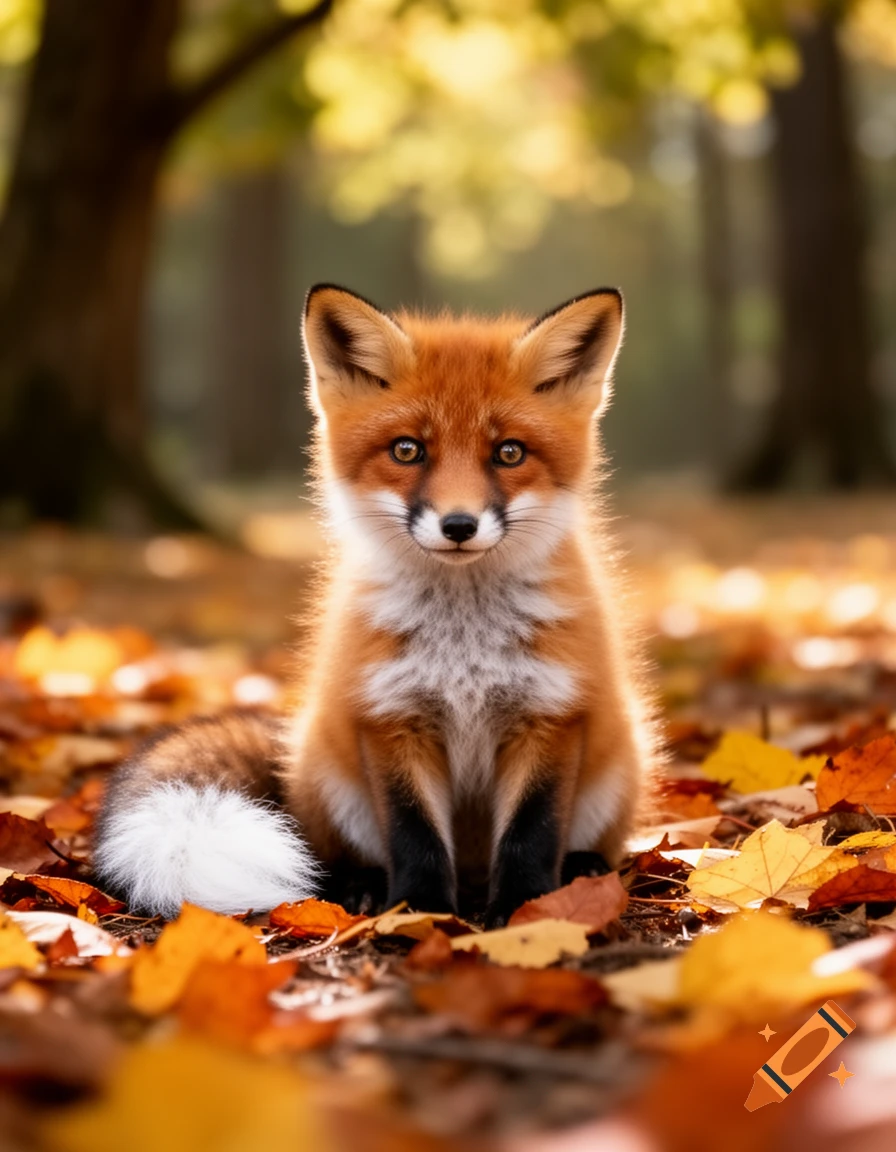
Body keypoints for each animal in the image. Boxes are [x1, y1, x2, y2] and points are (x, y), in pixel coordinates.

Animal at [94, 284, 656, 926]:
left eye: (509, 453)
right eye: (408, 450)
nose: (458, 525)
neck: (463, 644)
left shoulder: (549, 713)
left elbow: (530, 832)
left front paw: (524, 909)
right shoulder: (390, 717)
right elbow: (414, 834)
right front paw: (419, 911)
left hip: (621, 764)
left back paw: (584, 869)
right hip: (334, 782)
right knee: (332, 855)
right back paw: (362, 886)